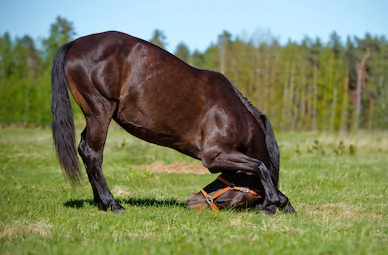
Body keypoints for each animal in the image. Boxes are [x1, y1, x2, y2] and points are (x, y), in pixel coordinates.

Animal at [50, 30, 294, 214]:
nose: (192, 201)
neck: (234, 113)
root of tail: (74, 44)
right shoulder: (214, 156)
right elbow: (260, 166)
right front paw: (273, 202)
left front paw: (282, 203)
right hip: (100, 111)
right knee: (92, 154)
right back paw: (112, 204)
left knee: (84, 150)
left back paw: (100, 201)